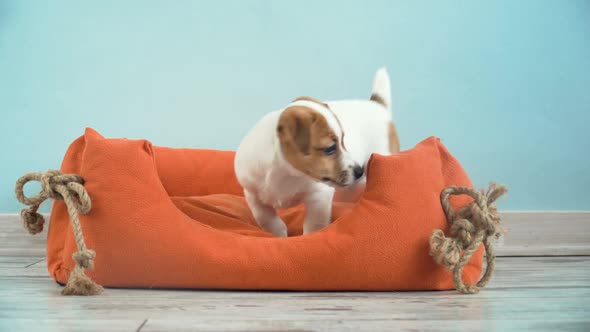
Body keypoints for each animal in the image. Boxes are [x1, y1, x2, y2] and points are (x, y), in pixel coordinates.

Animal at [234, 68, 400, 236]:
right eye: (330, 148)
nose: (360, 171)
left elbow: (314, 225)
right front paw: (278, 235)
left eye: (343, 140)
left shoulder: (319, 197)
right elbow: (268, 220)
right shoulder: (253, 196)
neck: (286, 173)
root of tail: (377, 104)